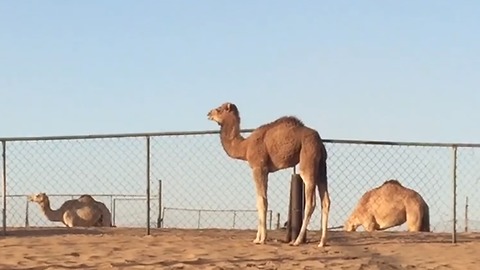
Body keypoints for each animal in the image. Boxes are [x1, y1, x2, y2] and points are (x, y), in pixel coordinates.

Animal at [206, 102, 330, 247]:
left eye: (219, 109)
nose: (208, 114)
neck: (245, 147)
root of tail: (320, 142)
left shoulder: (258, 168)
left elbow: (262, 201)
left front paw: (261, 239)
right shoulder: (265, 171)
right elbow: (260, 201)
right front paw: (257, 238)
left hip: (308, 159)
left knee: (311, 202)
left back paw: (297, 241)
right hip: (322, 166)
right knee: (326, 201)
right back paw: (322, 242)